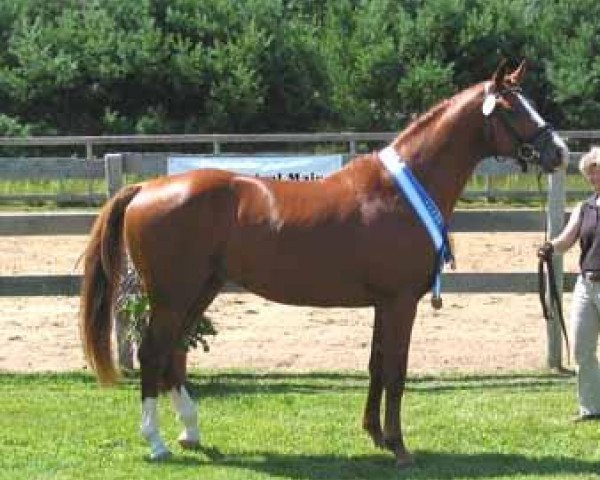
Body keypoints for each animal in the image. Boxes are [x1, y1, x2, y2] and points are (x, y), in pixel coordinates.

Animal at [79, 62, 568, 466]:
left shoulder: (383, 303)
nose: (560, 152)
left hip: (201, 290)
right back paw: (156, 442)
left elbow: (376, 365)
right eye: (510, 107)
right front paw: (399, 447)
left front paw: (375, 435)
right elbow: (396, 370)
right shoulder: (400, 302)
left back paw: (190, 433)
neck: (400, 190)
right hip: (171, 295)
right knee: (152, 353)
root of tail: (145, 187)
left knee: (175, 353)